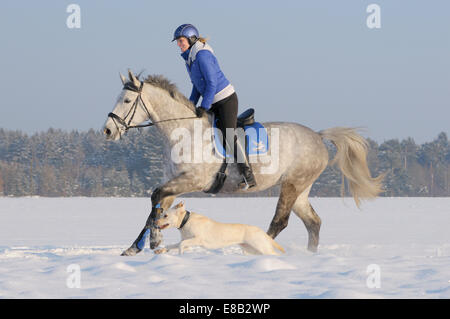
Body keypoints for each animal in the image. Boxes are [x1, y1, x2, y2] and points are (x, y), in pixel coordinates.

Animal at [155, 202, 284, 258]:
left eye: (165, 215)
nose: (155, 223)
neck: (185, 221)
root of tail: (260, 230)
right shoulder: (186, 240)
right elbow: (173, 245)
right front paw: (160, 251)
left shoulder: (198, 239)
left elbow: (181, 245)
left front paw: (180, 255)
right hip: (251, 249)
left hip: (261, 247)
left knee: (274, 253)